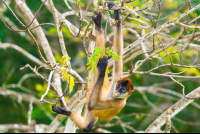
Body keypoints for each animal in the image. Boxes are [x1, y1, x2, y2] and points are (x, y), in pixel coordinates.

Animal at [52, 2, 134, 132]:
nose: (117, 90)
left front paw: (103, 66)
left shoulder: (119, 103)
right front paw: (117, 16)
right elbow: (118, 52)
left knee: (87, 125)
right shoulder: (117, 77)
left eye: (123, 90)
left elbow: (92, 105)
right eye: (119, 86)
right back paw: (99, 28)